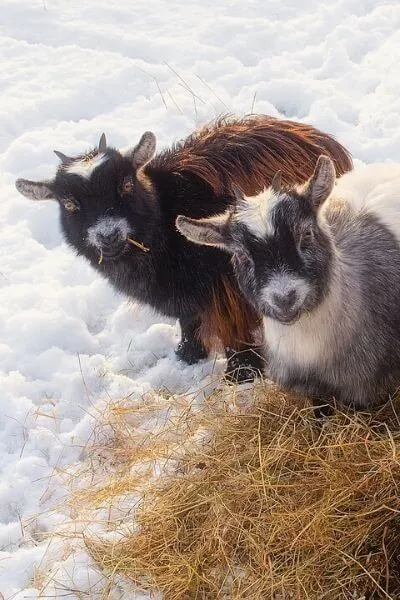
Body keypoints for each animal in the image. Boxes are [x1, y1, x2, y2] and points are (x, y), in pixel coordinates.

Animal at [15, 115, 352, 382]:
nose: (108, 235)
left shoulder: (227, 285)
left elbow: (234, 326)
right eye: (69, 204)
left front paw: (242, 373)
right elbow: (189, 320)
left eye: (126, 185)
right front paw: (188, 354)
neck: (164, 223)